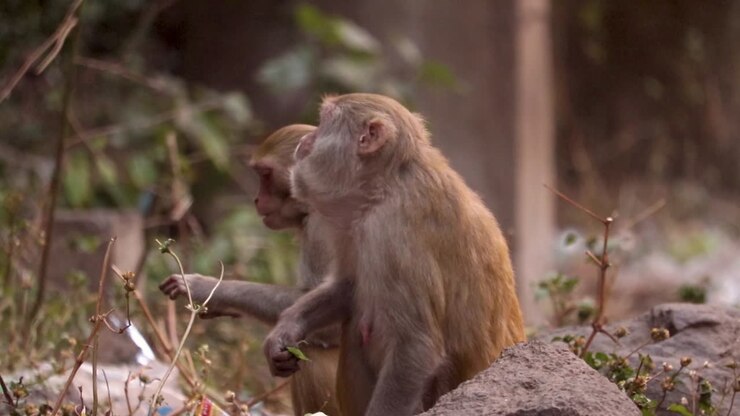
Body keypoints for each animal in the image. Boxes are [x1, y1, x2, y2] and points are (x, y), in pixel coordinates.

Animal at [159, 124, 341, 416]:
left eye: (266, 175)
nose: (256, 199)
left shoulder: (321, 230)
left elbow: (334, 325)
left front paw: (207, 288)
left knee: (311, 351)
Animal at [263, 93, 526, 416]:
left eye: (324, 121)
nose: (305, 140)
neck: (386, 184)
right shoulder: (354, 227)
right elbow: (347, 288)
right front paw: (285, 330)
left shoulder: (394, 232)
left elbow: (416, 346)